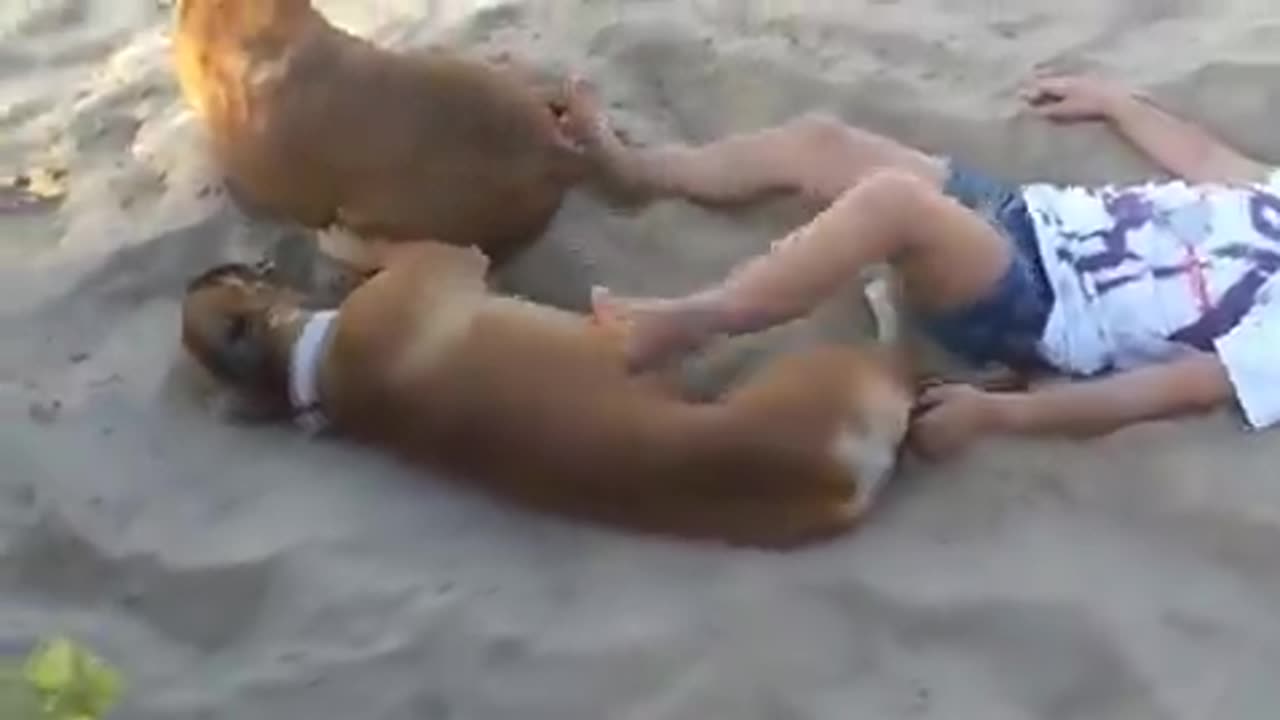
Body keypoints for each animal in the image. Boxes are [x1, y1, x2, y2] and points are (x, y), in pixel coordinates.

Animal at [183, 239, 921, 543]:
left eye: (230, 276)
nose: (216, 264)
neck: (308, 364)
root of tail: (832, 480)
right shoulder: (440, 262)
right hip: (833, 369)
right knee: (894, 349)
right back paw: (884, 291)